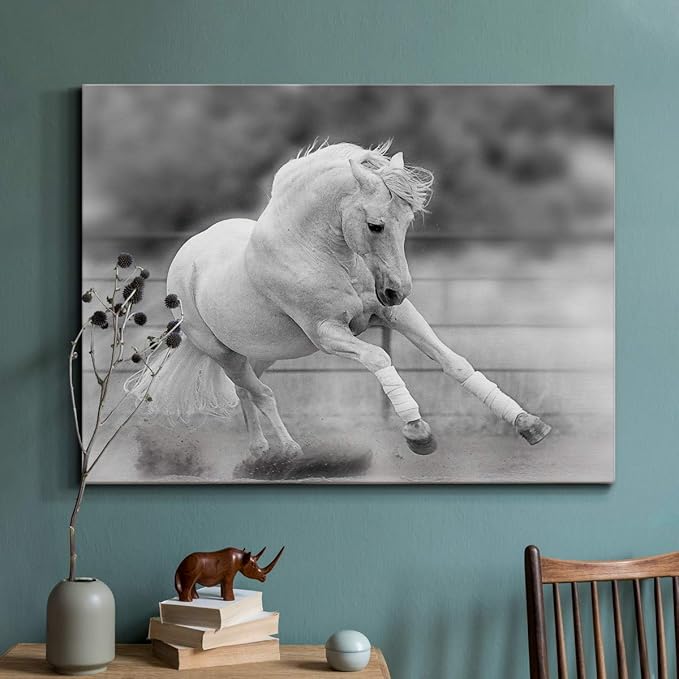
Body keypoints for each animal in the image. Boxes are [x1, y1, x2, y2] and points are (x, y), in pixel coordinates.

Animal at [131, 142, 551, 457]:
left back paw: (260, 450)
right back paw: (288, 450)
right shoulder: (328, 334)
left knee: (246, 391)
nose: (397, 290)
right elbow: (379, 358)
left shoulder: (395, 316)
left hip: (260, 353)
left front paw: (528, 423)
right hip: (223, 353)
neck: (316, 252)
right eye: (375, 225)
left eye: (408, 222)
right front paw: (418, 431)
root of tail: (187, 257)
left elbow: (454, 362)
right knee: (261, 393)